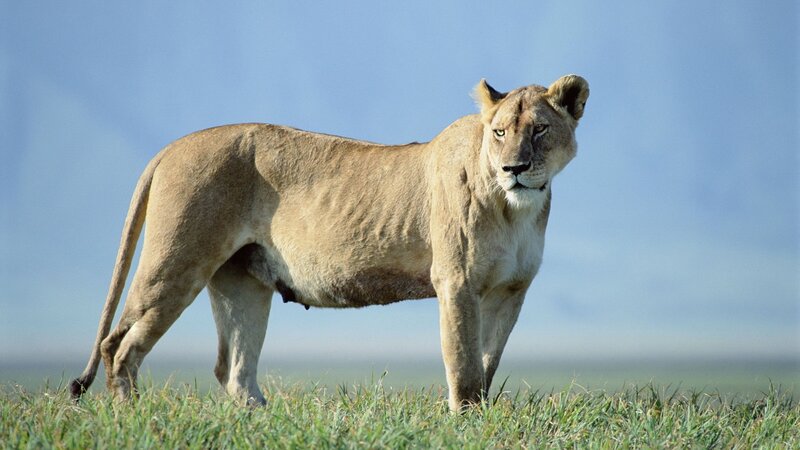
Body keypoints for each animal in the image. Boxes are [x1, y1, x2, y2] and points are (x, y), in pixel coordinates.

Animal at [69, 75, 589, 411]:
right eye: (499, 132)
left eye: (539, 129)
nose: (513, 168)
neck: (515, 209)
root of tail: (170, 147)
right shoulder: (456, 282)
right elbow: (462, 364)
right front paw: (465, 422)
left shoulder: (510, 291)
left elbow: (486, 363)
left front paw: (480, 416)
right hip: (177, 262)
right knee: (119, 344)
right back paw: (133, 417)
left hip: (242, 282)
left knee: (233, 367)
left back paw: (264, 419)